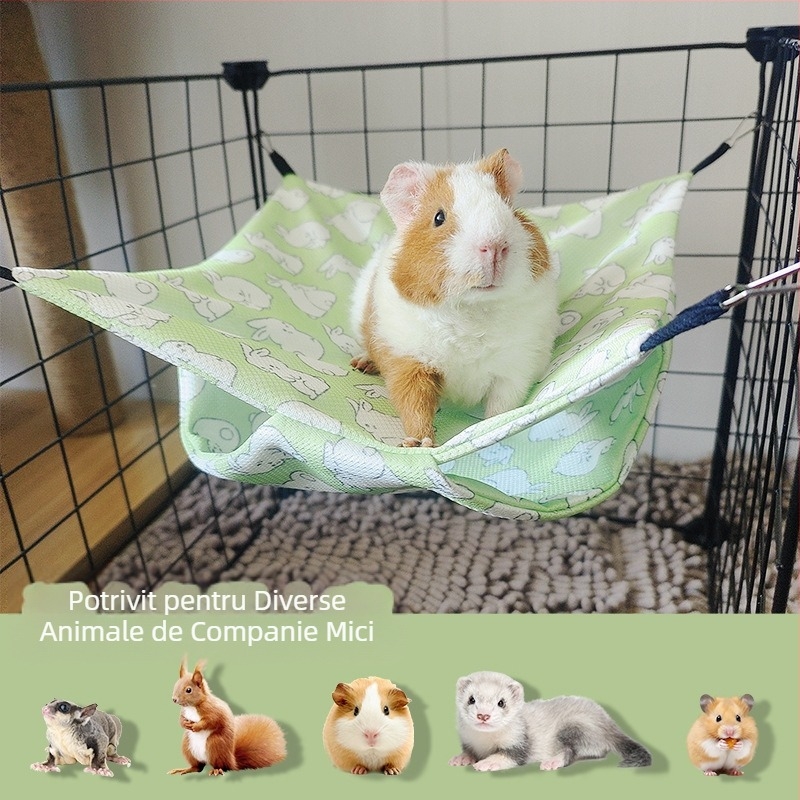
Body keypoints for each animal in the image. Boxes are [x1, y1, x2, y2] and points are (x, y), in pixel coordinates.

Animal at [350, 148, 558, 447]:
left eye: (508, 209)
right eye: (439, 217)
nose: (494, 247)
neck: (473, 309)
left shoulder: (515, 369)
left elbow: (501, 406)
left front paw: (487, 429)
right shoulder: (408, 362)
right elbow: (415, 406)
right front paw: (418, 444)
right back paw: (361, 365)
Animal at [449, 671, 651, 772]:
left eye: (501, 702)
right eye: (471, 699)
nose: (483, 715)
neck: (484, 742)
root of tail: (608, 722)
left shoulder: (519, 742)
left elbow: (510, 756)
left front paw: (488, 763)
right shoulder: (467, 740)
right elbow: (468, 750)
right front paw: (462, 758)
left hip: (574, 727)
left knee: (572, 752)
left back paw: (553, 761)